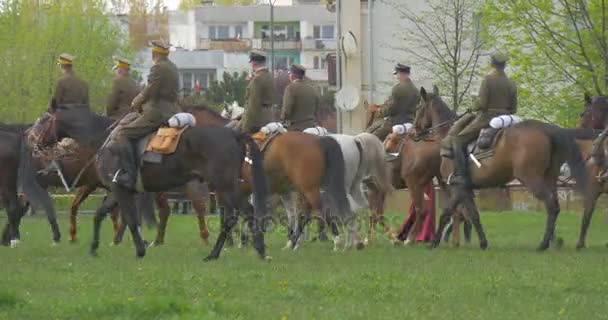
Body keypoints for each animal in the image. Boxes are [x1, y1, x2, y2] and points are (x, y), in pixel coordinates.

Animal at [36, 106, 268, 262]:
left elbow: (129, 219)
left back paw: (254, 250)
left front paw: (140, 249)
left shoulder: (119, 190)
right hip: (225, 188)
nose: (35, 143)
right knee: (235, 216)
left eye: (42, 122)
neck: (105, 140)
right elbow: (100, 214)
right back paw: (222, 252)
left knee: (241, 213)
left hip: (224, 186)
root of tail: (234, 133)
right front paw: (94, 247)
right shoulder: (119, 191)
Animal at [432, 104, 588, 251]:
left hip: (532, 180)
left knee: (551, 206)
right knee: (554, 206)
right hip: (550, 179)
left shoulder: (458, 188)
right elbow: (465, 215)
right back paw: (552, 241)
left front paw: (434, 242)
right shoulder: (462, 189)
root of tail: (547, 129)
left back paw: (543, 244)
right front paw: (482, 243)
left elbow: (454, 214)